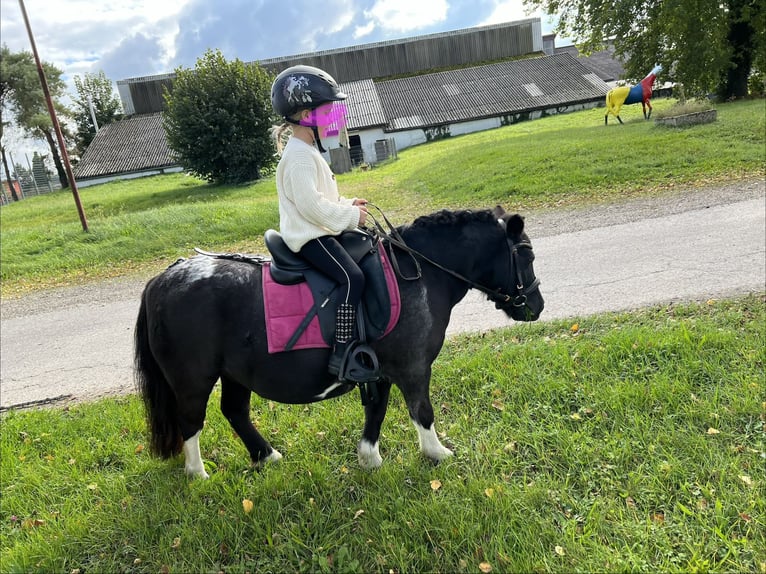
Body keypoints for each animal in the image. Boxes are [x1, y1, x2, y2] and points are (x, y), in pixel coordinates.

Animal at [134, 206, 544, 478]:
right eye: (526, 254)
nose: (537, 306)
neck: (417, 274)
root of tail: (162, 279)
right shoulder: (413, 368)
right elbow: (422, 412)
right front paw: (436, 453)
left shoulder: (379, 371)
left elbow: (376, 410)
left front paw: (369, 458)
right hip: (193, 380)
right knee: (191, 420)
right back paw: (198, 475)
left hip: (234, 373)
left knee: (235, 411)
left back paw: (267, 456)